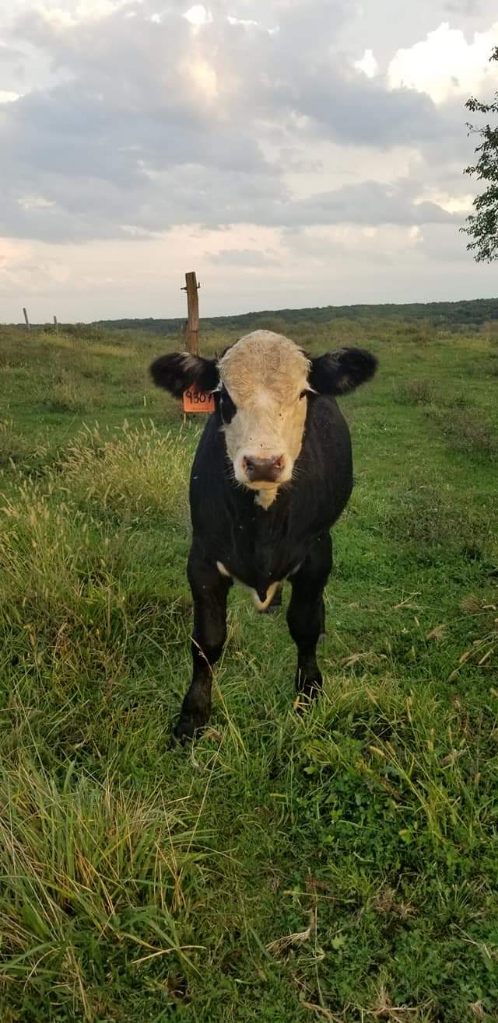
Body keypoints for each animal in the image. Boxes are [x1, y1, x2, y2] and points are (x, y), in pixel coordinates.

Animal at [150, 330, 377, 741]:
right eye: (223, 397)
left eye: (303, 393)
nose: (263, 463)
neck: (261, 527)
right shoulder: (202, 560)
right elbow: (207, 641)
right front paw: (193, 715)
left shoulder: (317, 553)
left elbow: (304, 625)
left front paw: (309, 691)